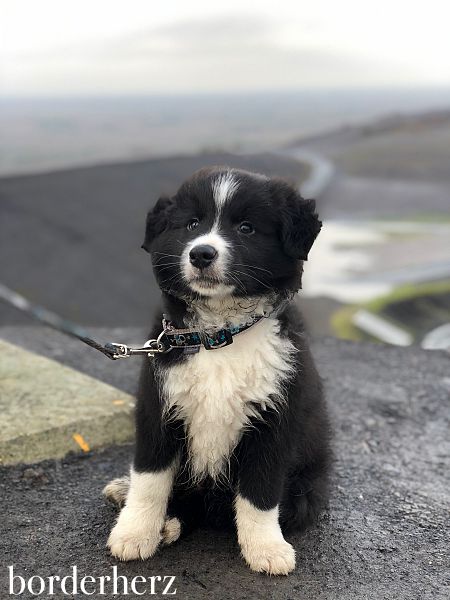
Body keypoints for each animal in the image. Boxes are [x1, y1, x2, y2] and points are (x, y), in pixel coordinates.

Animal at [104, 166, 330, 576]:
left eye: (246, 228)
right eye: (192, 224)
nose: (201, 253)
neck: (219, 336)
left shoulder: (275, 418)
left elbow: (259, 493)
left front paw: (266, 549)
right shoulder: (158, 406)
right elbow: (150, 480)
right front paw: (134, 533)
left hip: (308, 486)